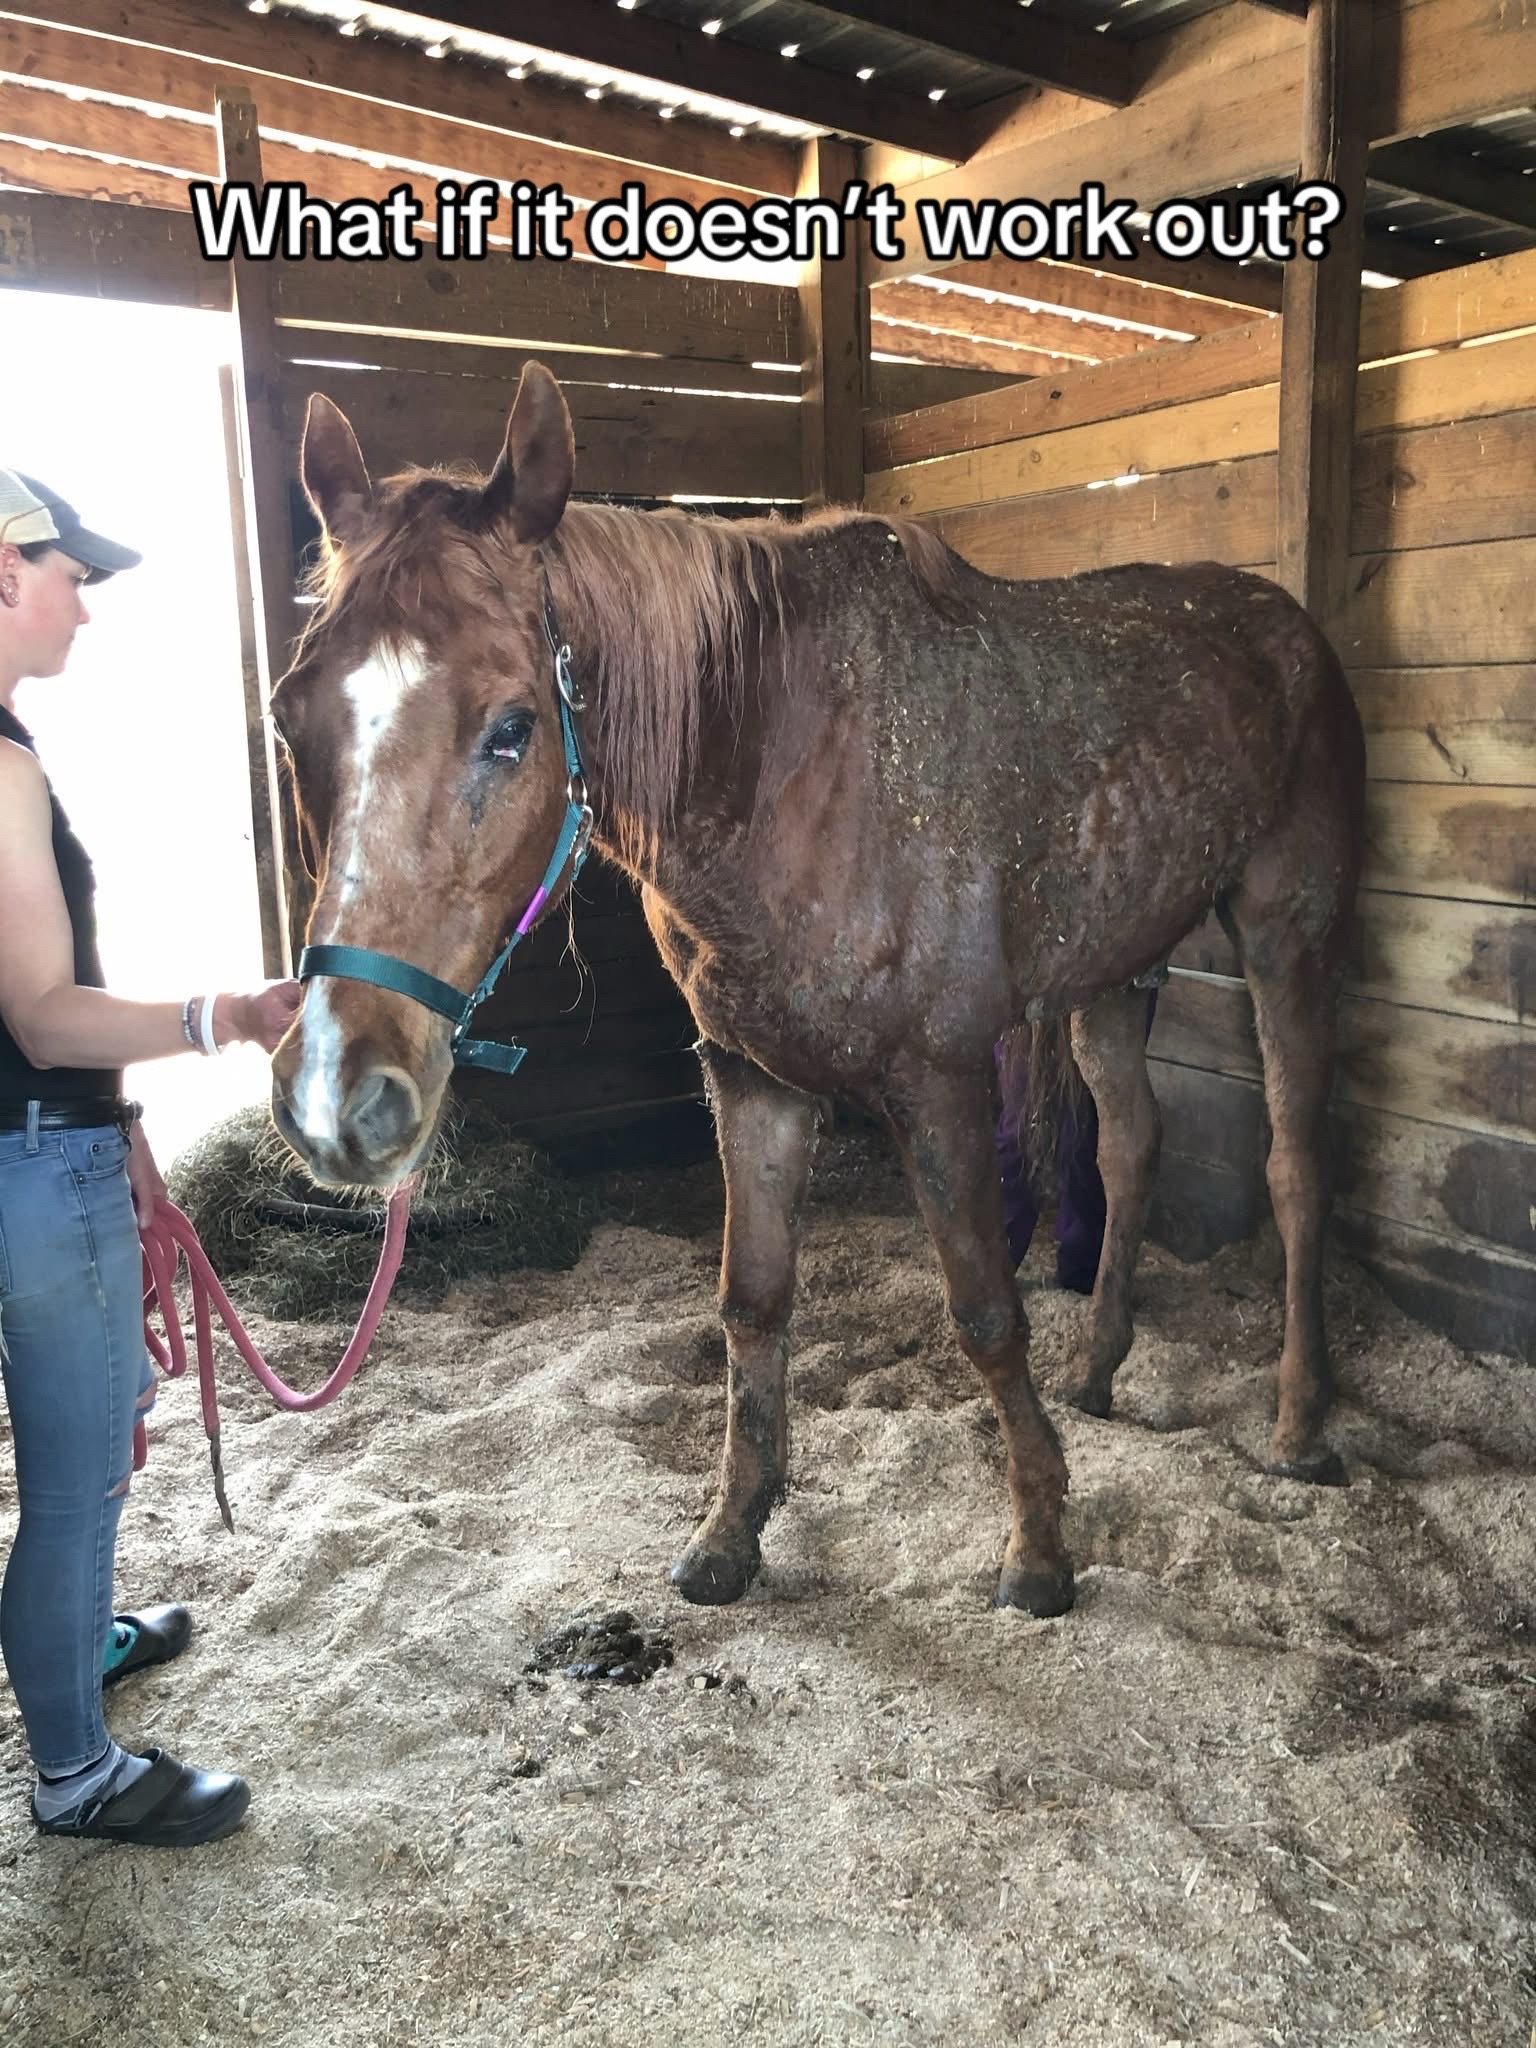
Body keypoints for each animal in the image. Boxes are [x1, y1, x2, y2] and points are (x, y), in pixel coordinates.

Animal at [269, 361, 1366, 1619]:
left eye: (512, 727)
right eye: (288, 715)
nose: (336, 1096)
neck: (777, 762)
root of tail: (1289, 628)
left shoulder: (940, 1078)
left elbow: (985, 1310)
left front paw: (1040, 1542)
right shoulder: (748, 1072)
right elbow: (752, 1299)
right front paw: (731, 1529)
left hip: (1287, 941)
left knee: (1295, 1166)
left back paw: (1300, 1426)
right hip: (1113, 972)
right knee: (1133, 1142)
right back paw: (1099, 1369)